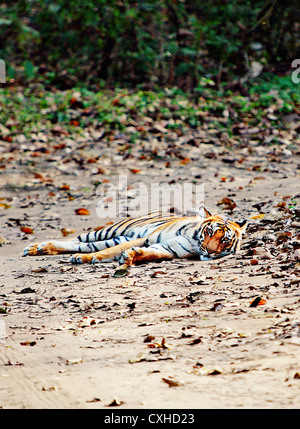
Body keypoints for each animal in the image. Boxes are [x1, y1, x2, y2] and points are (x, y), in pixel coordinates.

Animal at [23, 206, 247, 272]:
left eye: (225, 240)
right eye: (209, 232)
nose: (210, 251)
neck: (194, 239)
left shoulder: (168, 249)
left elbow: (150, 254)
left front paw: (131, 257)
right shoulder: (143, 238)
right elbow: (110, 252)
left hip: (112, 237)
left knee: (83, 246)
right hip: (107, 232)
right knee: (77, 241)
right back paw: (37, 248)